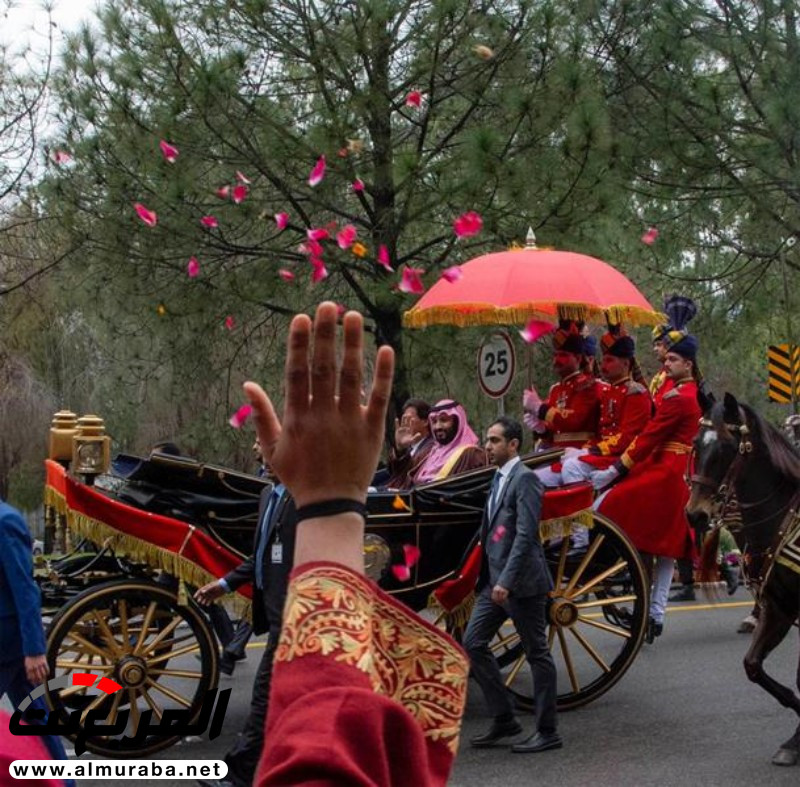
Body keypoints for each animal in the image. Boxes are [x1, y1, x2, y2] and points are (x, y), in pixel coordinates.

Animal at [680, 394, 800, 768]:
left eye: (726, 448)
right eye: (695, 444)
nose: (696, 514)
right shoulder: (779, 608)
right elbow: (752, 665)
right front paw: (795, 737)